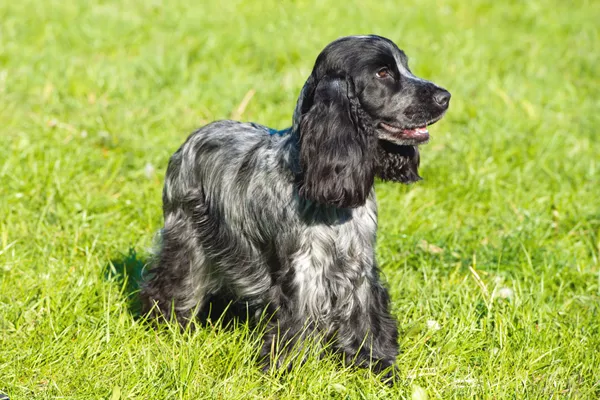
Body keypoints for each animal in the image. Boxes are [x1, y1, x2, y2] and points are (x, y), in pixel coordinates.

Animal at [141, 33, 450, 378]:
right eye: (382, 73)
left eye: (405, 66)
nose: (445, 96)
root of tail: (191, 140)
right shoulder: (302, 270)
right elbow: (296, 322)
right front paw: (285, 369)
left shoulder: (359, 268)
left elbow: (366, 319)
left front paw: (377, 365)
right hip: (187, 237)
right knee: (175, 283)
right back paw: (167, 323)